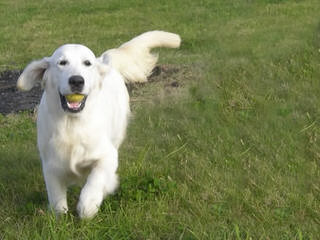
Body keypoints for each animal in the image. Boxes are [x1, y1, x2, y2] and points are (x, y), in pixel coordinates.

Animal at [16, 30, 180, 218]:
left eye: (87, 63)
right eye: (62, 62)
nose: (77, 80)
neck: (72, 123)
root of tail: (105, 60)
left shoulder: (107, 155)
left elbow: (96, 180)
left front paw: (89, 204)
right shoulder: (51, 164)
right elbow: (57, 200)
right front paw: (61, 215)